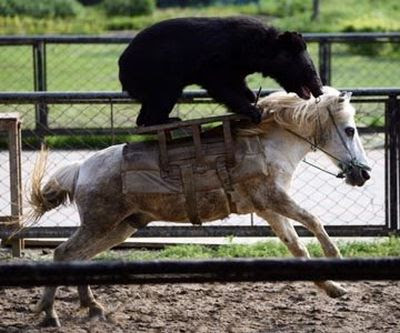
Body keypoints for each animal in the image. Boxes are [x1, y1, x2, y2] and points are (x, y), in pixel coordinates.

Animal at [29, 84, 370, 326]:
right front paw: (335, 258)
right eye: (350, 129)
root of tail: (80, 169)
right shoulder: (273, 198)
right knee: (63, 254)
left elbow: (296, 247)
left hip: (119, 227)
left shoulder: (268, 209)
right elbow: (313, 220)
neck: (266, 145)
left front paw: (333, 288)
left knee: (77, 258)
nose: (364, 173)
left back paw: (92, 307)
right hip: (100, 224)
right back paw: (49, 313)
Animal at [118, 16, 322, 126]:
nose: (319, 90)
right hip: (159, 76)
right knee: (163, 99)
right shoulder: (218, 61)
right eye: (309, 69)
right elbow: (220, 86)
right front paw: (253, 111)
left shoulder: (237, 69)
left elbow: (239, 84)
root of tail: (122, 69)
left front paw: (254, 98)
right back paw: (170, 120)